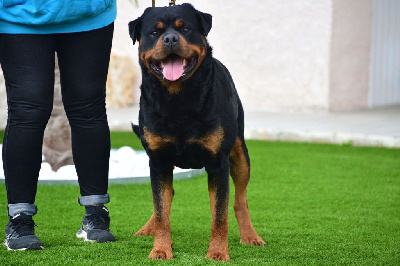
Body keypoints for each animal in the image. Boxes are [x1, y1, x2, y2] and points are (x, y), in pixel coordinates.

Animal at [129, 3, 266, 260]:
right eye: (154, 32)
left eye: (186, 28)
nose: (170, 38)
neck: (177, 97)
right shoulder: (158, 160)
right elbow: (161, 209)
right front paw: (160, 249)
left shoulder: (218, 162)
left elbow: (220, 214)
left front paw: (218, 252)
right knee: (165, 198)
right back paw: (148, 228)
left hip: (240, 151)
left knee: (240, 199)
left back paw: (250, 236)